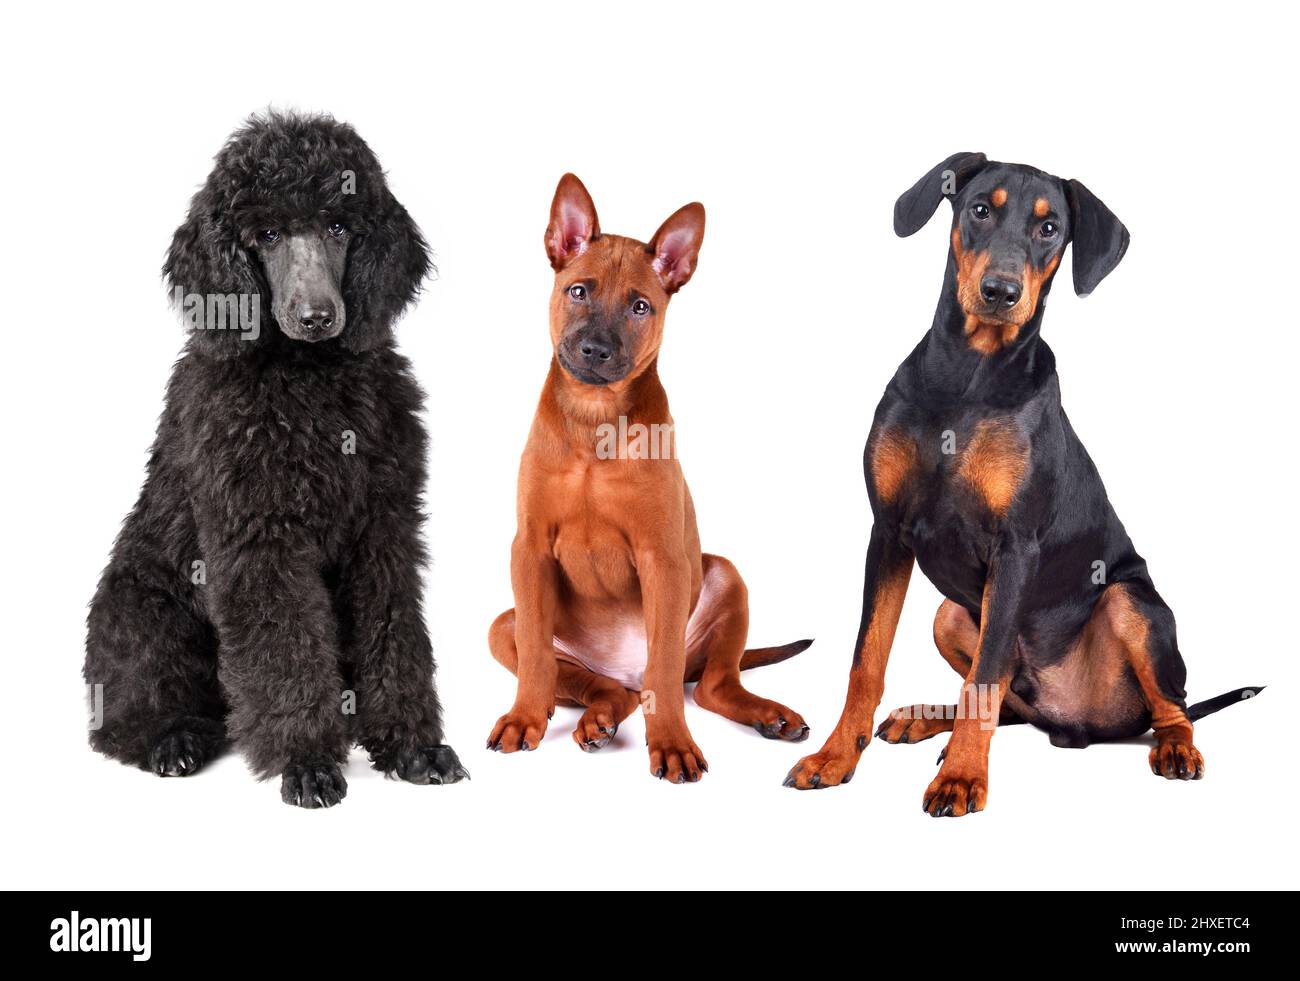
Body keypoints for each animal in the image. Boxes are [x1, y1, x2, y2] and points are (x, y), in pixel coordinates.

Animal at [780, 151, 1258, 815]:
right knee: (1006, 699)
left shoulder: (1015, 549)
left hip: (1131, 601)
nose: (1000, 292)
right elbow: (866, 659)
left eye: (1049, 228)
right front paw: (834, 757)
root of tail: (1076, 723)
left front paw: (961, 779)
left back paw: (1175, 749)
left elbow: (984, 676)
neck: (968, 377)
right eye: (981, 209)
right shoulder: (888, 532)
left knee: (1170, 704)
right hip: (951, 614)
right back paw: (925, 717)